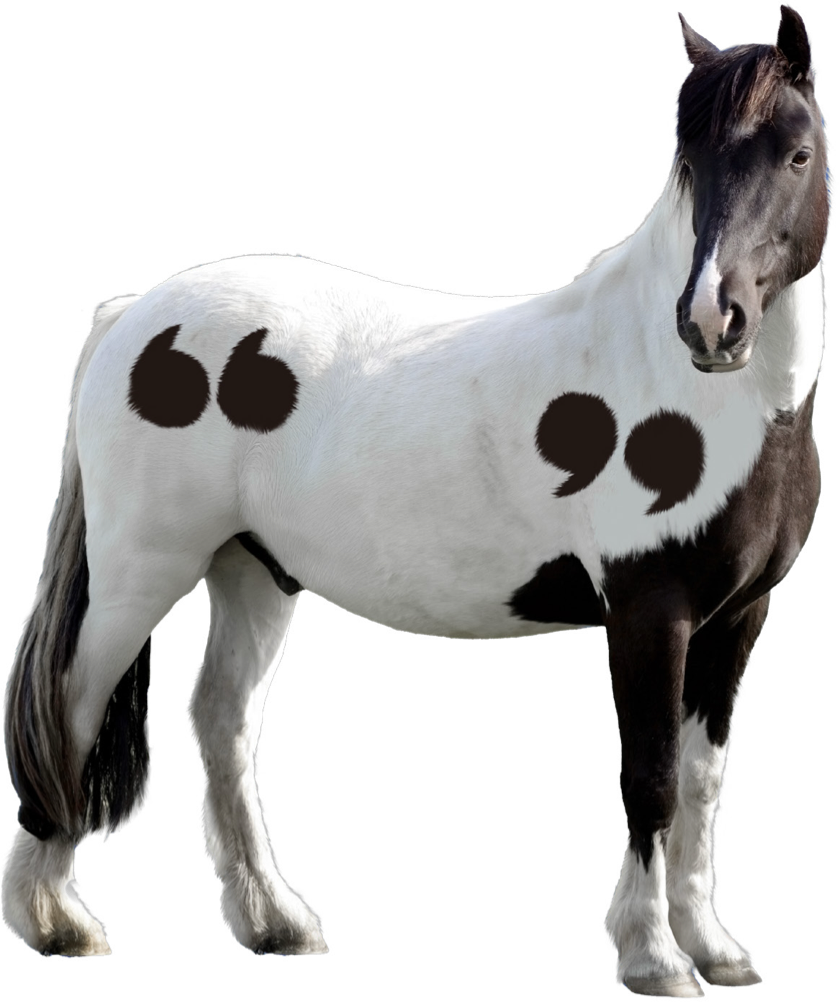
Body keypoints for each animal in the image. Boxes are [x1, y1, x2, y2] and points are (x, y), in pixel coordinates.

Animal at [3, 5, 828, 994]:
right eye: (689, 164)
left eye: (796, 153)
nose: (711, 323)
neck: (709, 404)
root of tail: (133, 313)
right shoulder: (646, 609)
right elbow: (651, 779)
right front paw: (653, 956)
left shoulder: (742, 613)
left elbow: (702, 782)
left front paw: (713, 947)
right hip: (141, 573)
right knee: (71, 708)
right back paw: (55, 922)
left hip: (252, 571)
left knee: (224, 722)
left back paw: (275, 921)